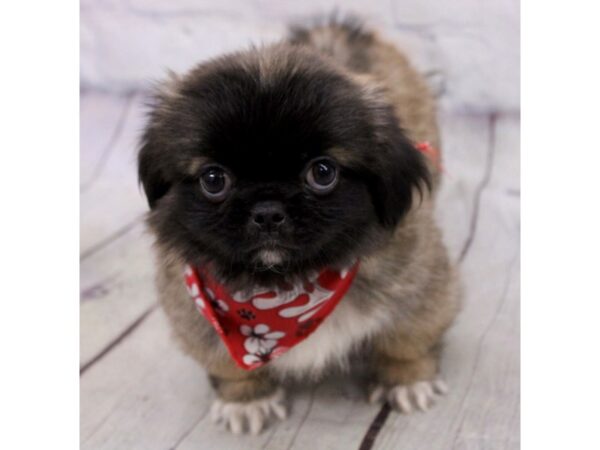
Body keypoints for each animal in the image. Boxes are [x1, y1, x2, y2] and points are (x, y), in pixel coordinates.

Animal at [138, 18, 462, 436]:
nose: (267, 211)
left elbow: (407, 339)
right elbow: (227, 365)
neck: (286, 289)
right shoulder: (188, 308)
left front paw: (406, 380)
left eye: (322, 173)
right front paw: (246, 399)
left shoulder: (422, 285)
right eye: (213, 179)